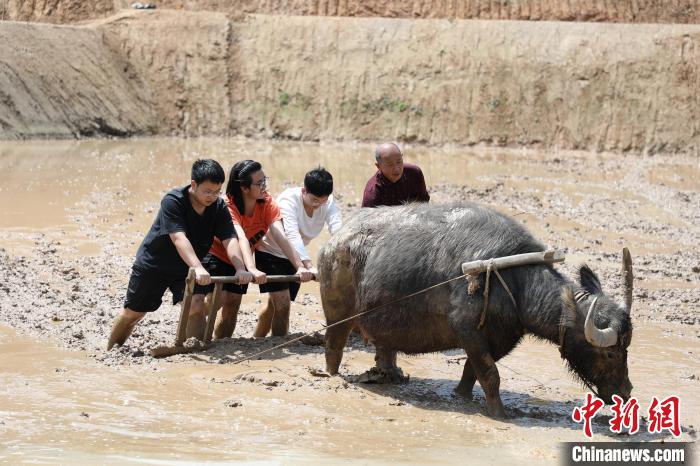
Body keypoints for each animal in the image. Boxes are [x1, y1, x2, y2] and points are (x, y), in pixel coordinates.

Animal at [318, 204, 636, 418]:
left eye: (626, 350)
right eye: (611, 353)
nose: (626, 392)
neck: (512, 280)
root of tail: (334, 241)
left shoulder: (493, 338)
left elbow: (473, 370)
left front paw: (461, 395)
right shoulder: (468, 330)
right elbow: (491, 374)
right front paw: (499, 414)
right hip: (337, 316)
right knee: (333, 346)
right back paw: (332, 375)